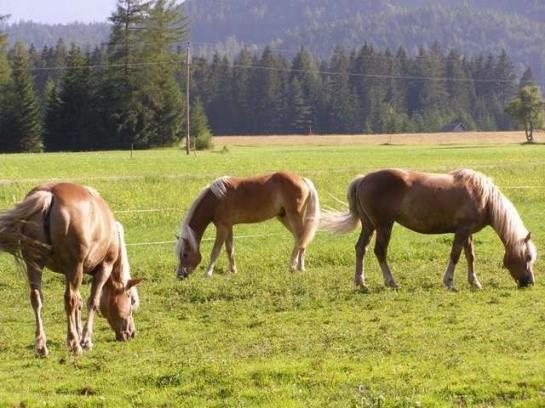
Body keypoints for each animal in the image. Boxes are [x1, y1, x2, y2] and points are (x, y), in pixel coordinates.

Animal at [0, 183, 142, 356]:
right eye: (131, 299)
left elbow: (79, 302)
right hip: (74, 267)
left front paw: (79, 332)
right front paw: (85, 339)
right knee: (69, 300)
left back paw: (42, 346)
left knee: (37, 299)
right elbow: (92, 302)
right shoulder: (102, 268)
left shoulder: (71, 273)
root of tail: (50, 195)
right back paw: (74, 344)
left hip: (34, 264)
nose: (131, 333)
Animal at [174, 171, 318, 278]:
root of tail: (302, 179)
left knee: (301, 239)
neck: (217, 198)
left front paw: (208, 273)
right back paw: (293, 265)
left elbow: (216, 250)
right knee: (299, 239)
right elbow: (229, 249)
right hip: (284, 217)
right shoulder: (228, 227)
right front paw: (233, 270)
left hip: (294, 217)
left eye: (185, 254)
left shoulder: (222, 227)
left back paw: (299, 267)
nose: (180, 275)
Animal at [320, 168, 536, 290]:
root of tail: (363, 179)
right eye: (527, 257)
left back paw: (361, 282)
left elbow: (470, 257)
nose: (529, 282)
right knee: (380, 251)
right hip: (383, 225)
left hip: (369, 225)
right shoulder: (462, 231)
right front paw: (449, 282)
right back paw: (391, 282)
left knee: (361, 249)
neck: (483, 197)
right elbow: (455, 255)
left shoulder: (467, 232)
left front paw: (474, 282)